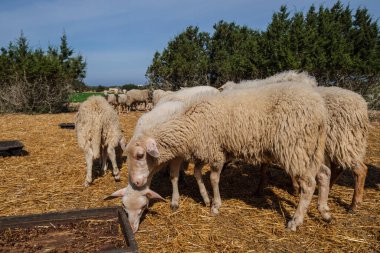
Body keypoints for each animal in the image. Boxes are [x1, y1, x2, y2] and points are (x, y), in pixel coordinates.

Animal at [125, 83, 330, 231]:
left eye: (140, 155)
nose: (136, 182)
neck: (191, 122)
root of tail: (320, 111)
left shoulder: (215, 151)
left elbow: (214, 178)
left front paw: (216, 205)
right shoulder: (204, 151)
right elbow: (199, 174)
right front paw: (207, 199)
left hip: (294, 146)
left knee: (308, 184)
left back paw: (296, 221)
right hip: (309, 150)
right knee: (324, 173)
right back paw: (325, 212)